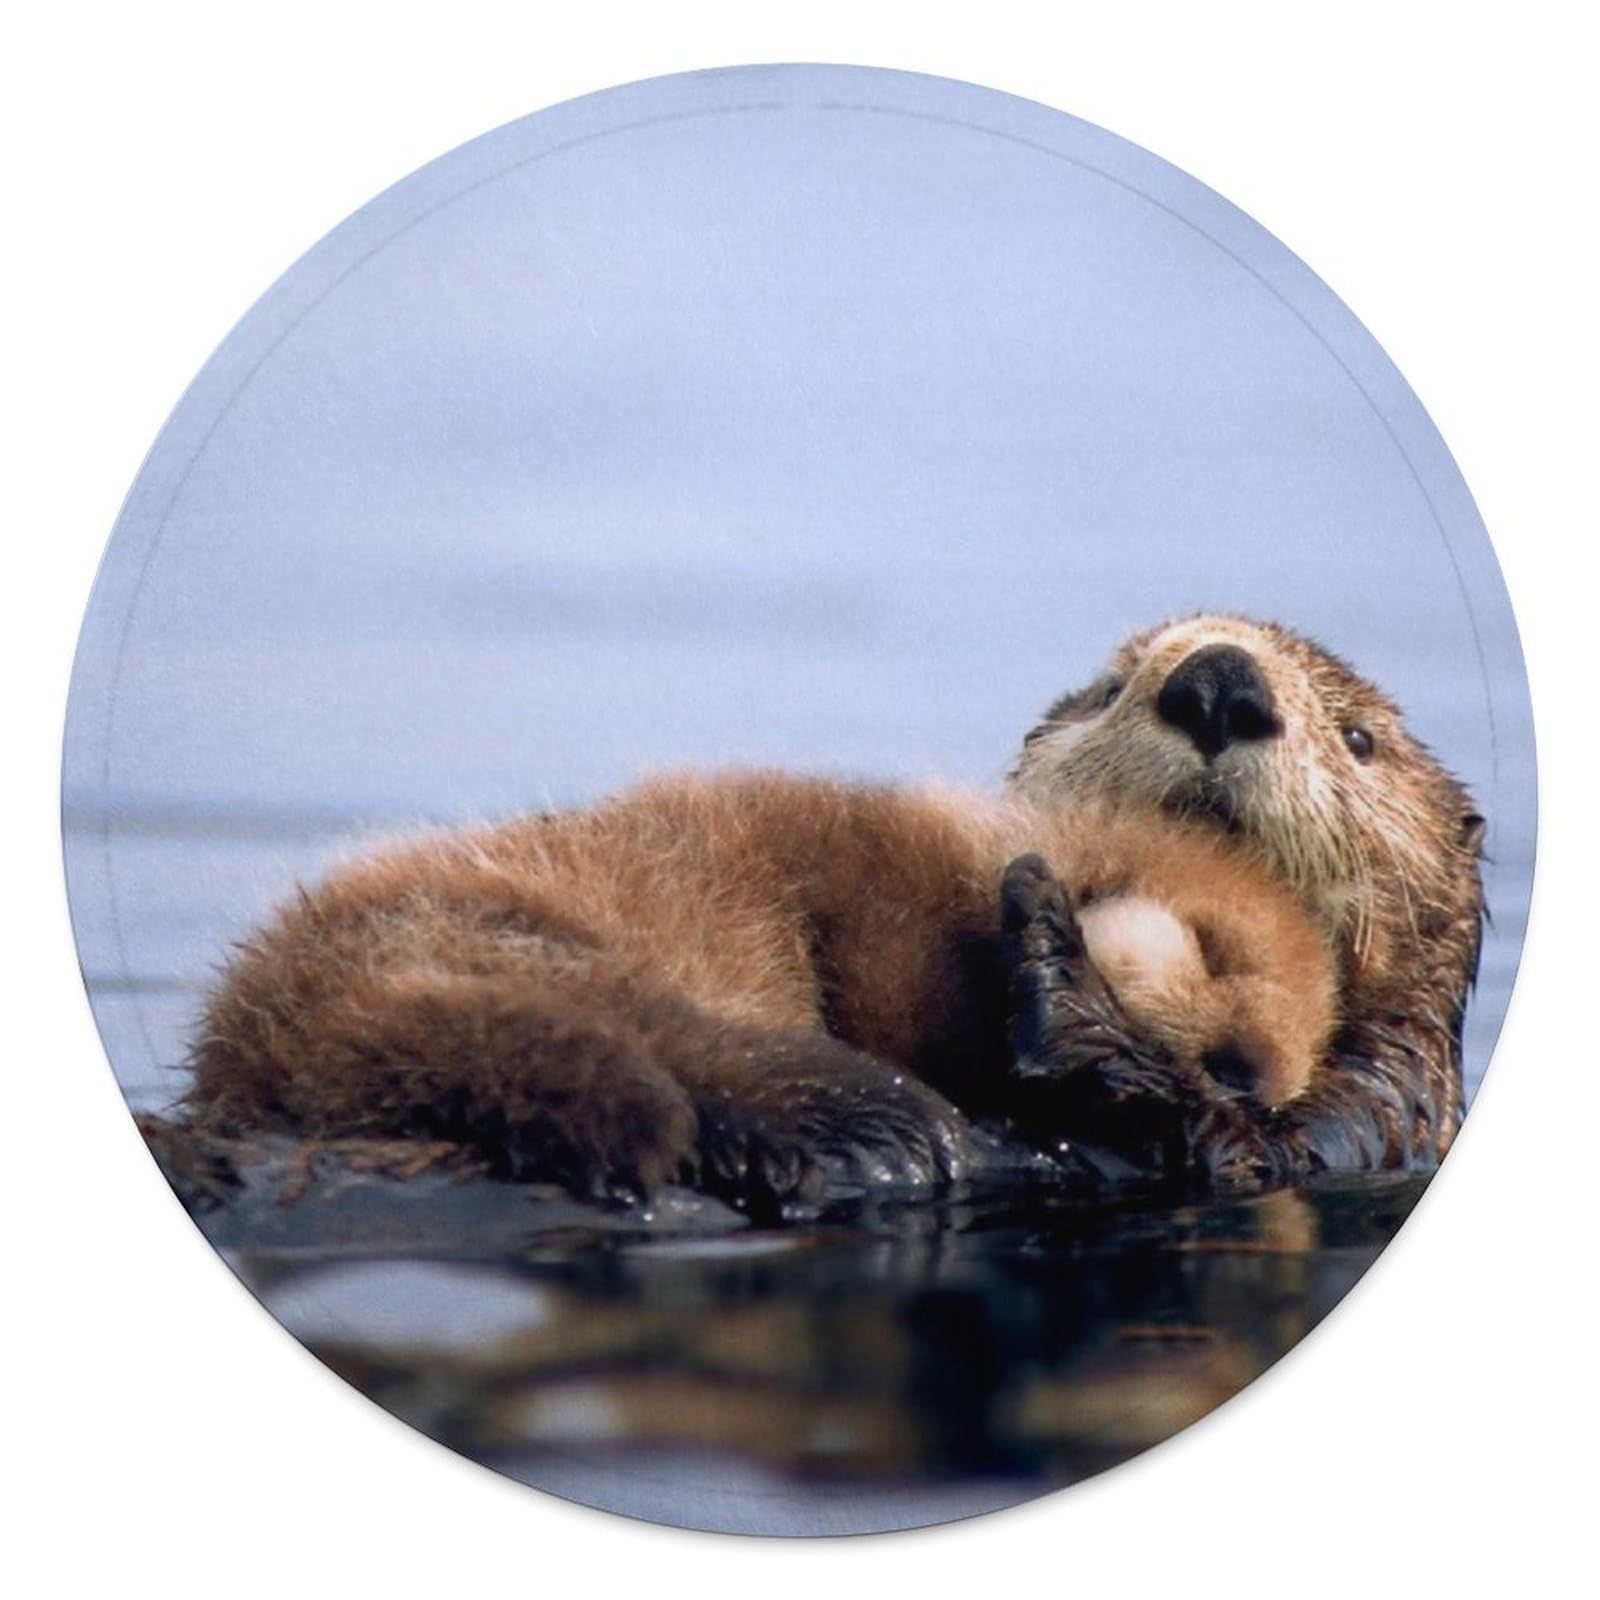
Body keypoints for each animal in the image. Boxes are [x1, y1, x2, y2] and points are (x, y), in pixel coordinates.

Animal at [180, 615, 1483, 1204]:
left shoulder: (1372, 1118)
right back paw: (870, 1127)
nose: (1216, 682)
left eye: (1357, 740)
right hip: (509, 944)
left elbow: (1234, 1153)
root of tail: (269, 1023)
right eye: (1111, 686)